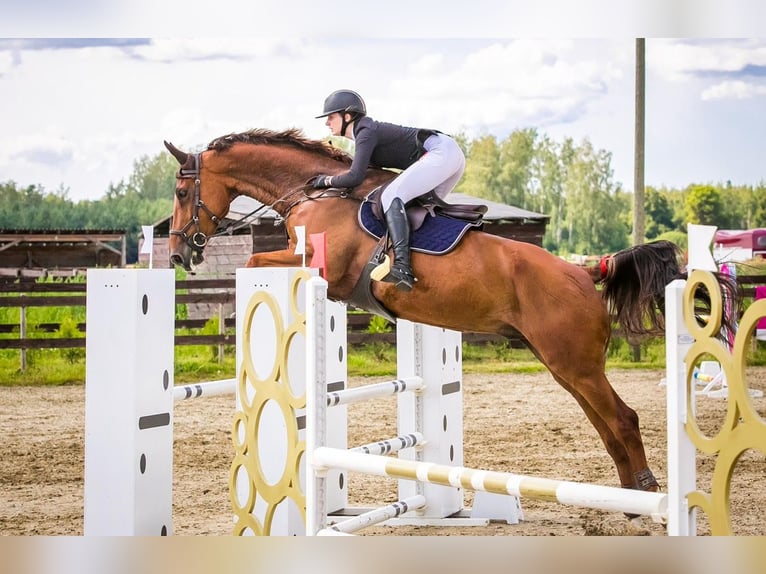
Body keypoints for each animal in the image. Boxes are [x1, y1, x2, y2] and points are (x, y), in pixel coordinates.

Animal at [165, 129, 740, 504]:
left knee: (622, 418)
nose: (178, 253)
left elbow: (254, 263)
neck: (314, 190)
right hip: (565, 366)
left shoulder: (323, 264)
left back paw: (645, 491)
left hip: (574, 363)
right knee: (604, 420)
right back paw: (629, 491)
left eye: (180, 190)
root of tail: (584, 272)